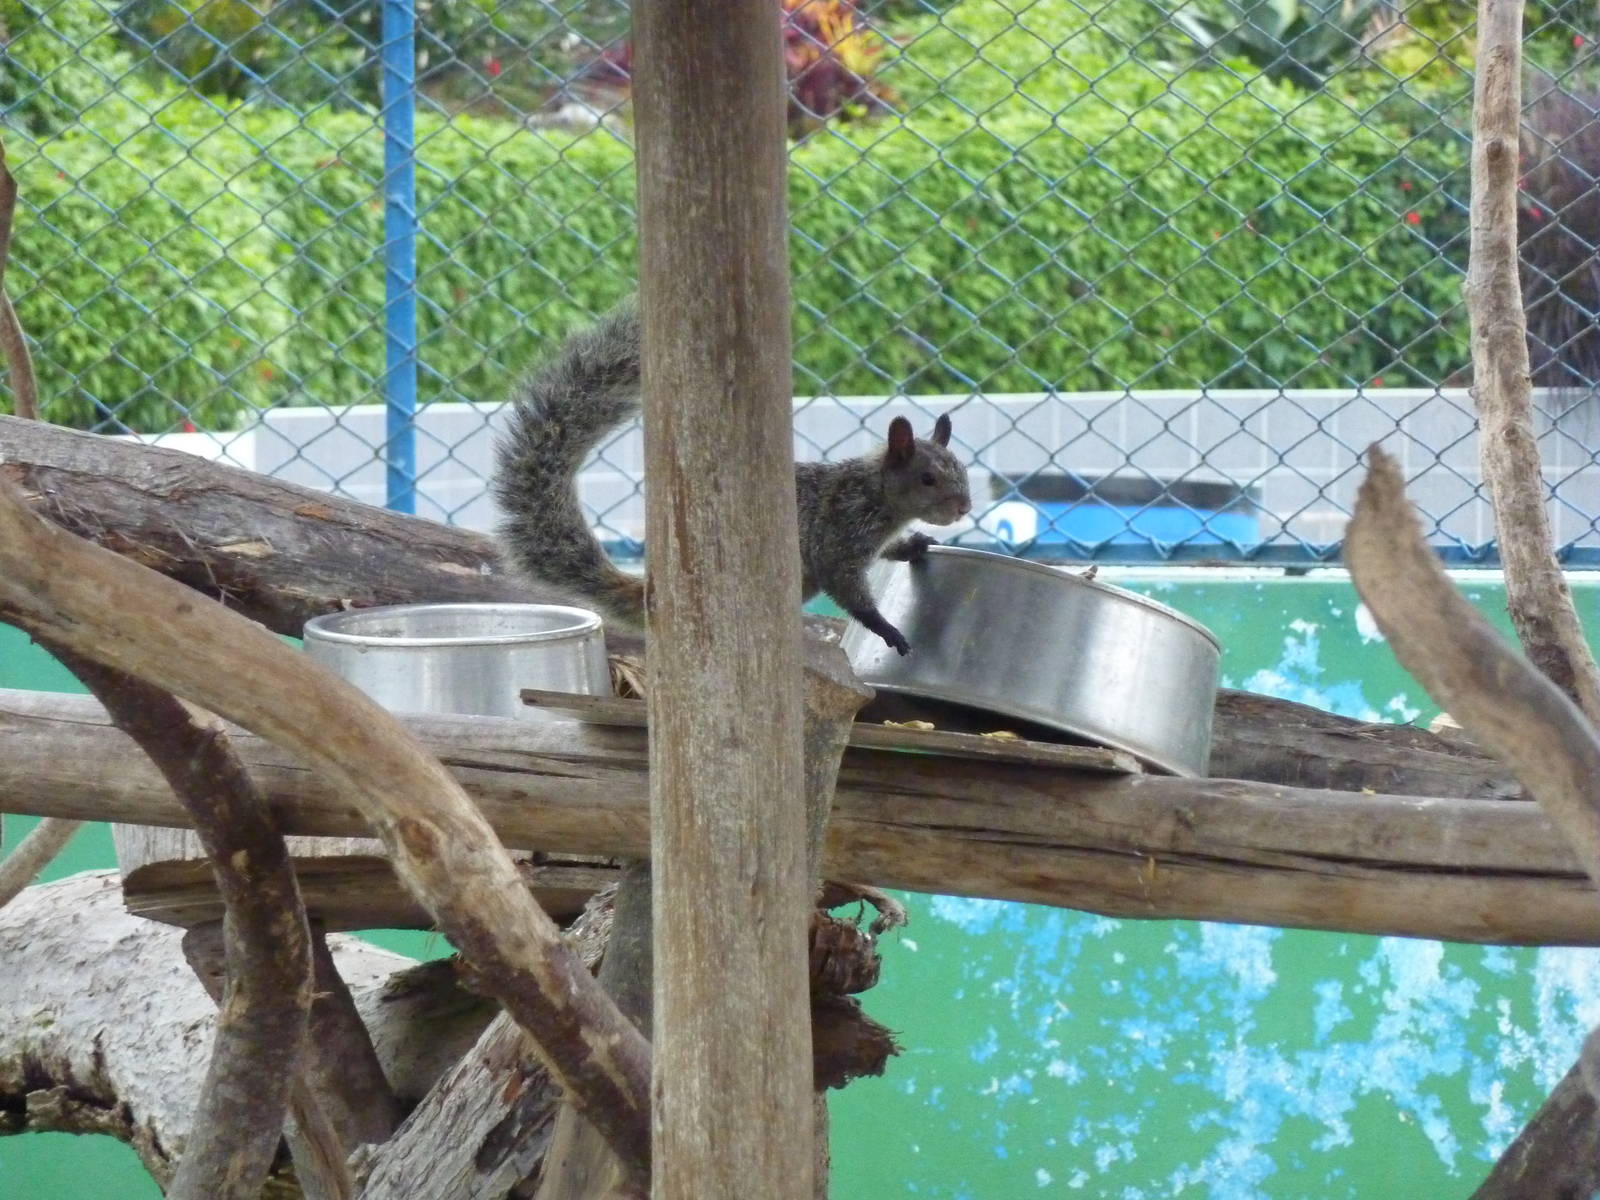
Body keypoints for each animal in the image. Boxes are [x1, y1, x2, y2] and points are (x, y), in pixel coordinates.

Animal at [492, 300, 972, 655]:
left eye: (962, 470)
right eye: (928, 478)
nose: (964, 507)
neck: (877, 494)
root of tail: (652, 596)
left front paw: (915, 544)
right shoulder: (840, 531)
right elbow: (846, 586)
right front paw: (887, 629)